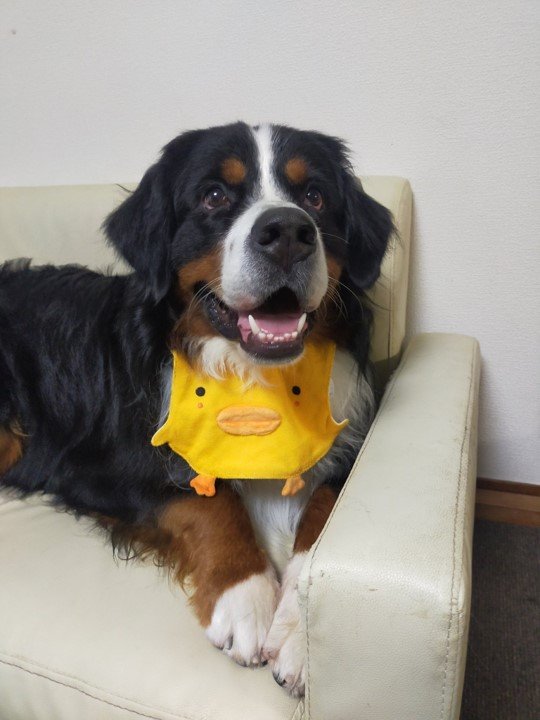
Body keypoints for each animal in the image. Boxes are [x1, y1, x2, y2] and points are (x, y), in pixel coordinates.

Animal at [0, 122, 393, 697]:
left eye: (315, 196)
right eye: (213, 196)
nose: (288, 231)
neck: (256, 382)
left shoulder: (349, 442)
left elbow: (324, 507)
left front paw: (301, 633)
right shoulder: (100, 465)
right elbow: (207, 499)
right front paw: (246, 598)